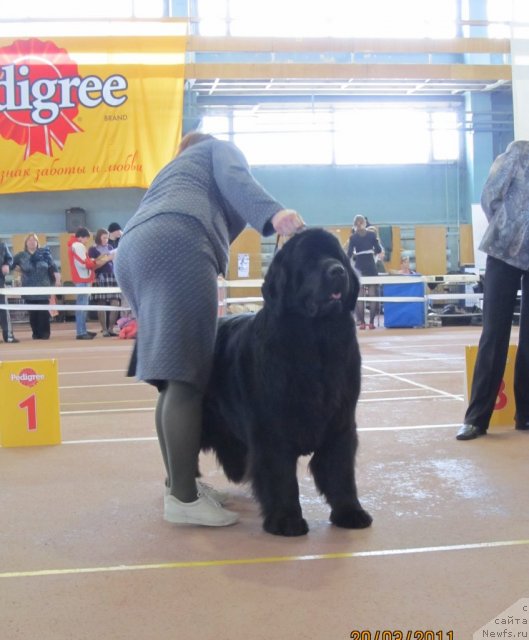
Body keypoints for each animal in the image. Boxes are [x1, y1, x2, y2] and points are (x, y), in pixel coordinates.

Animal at [201, 228, 372, 536]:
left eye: (337, 257)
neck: (316, 343)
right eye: (309, 260)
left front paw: (350, 513)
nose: (338, 271)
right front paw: (286, 520)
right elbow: (280, 475)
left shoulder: (341, 422)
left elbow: (341, 472)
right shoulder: (272, 428)